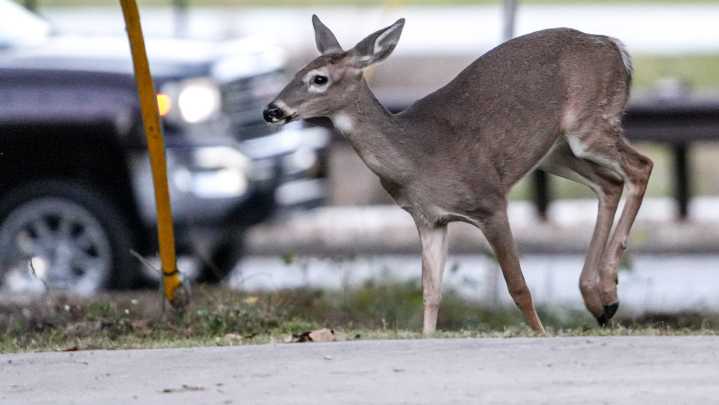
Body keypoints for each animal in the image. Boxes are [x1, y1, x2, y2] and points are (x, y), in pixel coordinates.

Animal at [263, 15, 653, 335]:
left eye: (319, 79)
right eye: (295, 72)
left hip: (589, 125)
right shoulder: (429, 219)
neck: (416, 157)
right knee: (609, 183)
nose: (272, 110)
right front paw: (427, 335)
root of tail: (616, 47)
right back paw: (599, 299)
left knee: (641, 166)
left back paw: (605, 289)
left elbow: (518, 286)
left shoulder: (490, 200)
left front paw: (540, 333)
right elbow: (431, 292)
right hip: (555, 153)